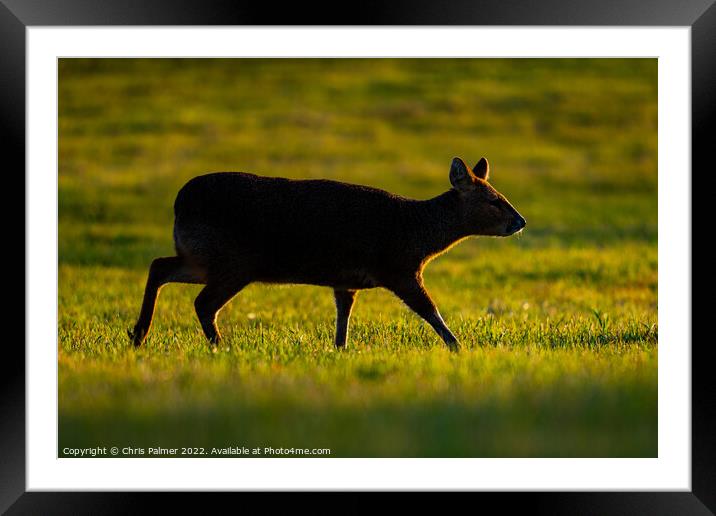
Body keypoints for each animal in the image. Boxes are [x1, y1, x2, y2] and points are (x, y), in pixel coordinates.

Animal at [130, 157, 524, 350]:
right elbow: (429, 309)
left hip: (202, 257)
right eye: (494, 200)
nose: (520, 221)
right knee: (202, 302)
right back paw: (220, 347)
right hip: (234, 261)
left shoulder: (345, 280)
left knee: (159, 266)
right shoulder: (398, 268)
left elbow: (343, 316)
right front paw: (459, 346)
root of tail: (179, 203)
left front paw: (340, 350)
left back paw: (138, 335)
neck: (418, 231)